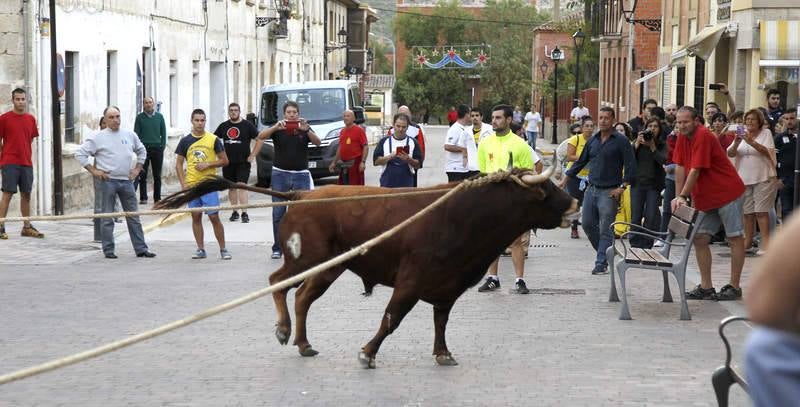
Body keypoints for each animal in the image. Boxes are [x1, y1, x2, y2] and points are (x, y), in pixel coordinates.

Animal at [156, 164, 580, 368]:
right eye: (547, 190)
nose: (575, 202)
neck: (463, 213)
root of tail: (301, 194)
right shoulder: (410, 280)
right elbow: (391, 319)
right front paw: (368, 352)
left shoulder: (447, 286)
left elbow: (441, 321)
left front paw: (443, 353)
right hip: (305, 258)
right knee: (277, 281)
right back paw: (283, 330)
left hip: (327, 268)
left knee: (303, 297)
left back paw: (304, 343)